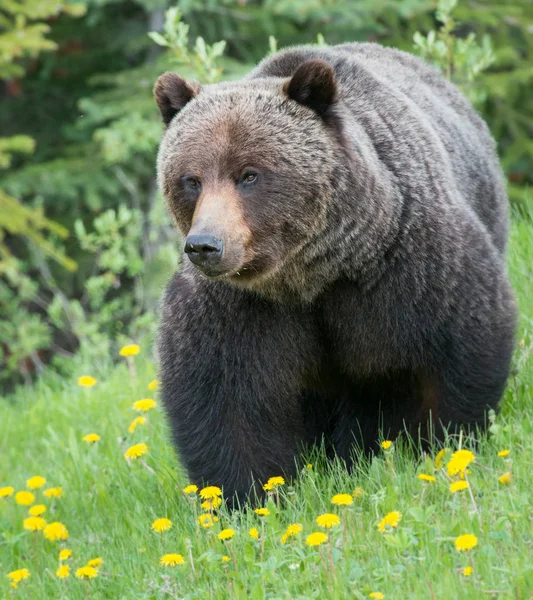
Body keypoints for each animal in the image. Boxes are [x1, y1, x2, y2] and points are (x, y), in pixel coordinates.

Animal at [153, 43, 516, 502]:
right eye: (191, 179)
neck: (312, 275)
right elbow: (225, 398)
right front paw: (248, 493)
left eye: (249, 174)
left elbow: (454, 349)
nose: (205, 245)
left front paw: (440, 444)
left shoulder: (408, 267)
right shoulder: (239, 307)